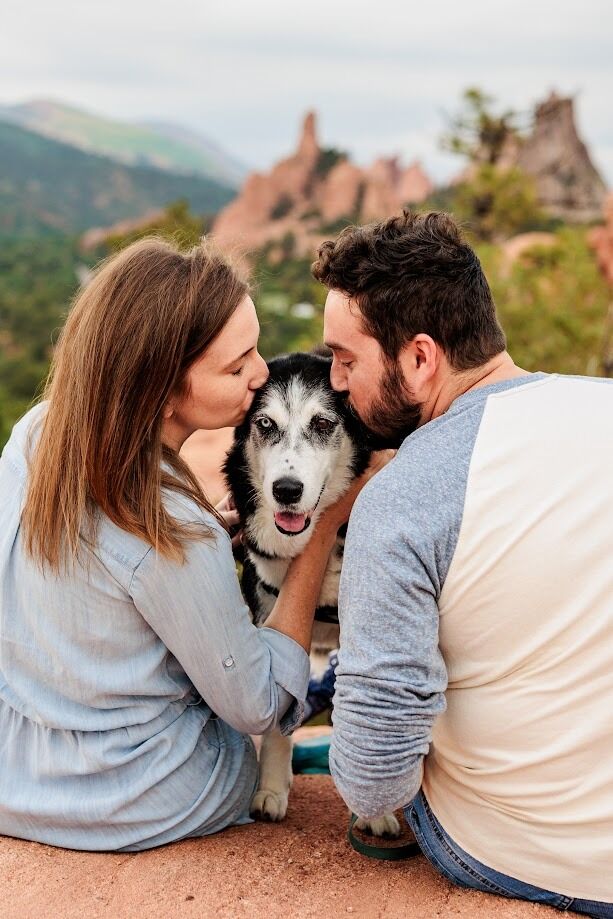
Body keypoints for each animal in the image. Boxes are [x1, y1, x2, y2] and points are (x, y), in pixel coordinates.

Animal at [225, 352, 402, 840]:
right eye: (265, 424)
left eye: (323, 423)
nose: (286, 490)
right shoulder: (270, 612)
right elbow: (277, 711)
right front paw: (270, 789)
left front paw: (371, 811)